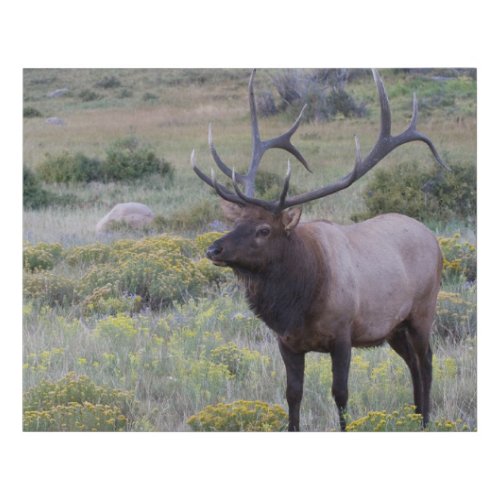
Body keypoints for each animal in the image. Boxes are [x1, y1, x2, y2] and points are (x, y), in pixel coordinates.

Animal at [190, 68, 446, 432]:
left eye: (264, 230)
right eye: (237, 221)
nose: (214, 249)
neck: (299, 302)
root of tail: (434, 240)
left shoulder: (342, 335)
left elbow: (340, 394)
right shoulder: (287, 342)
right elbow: (293, 394)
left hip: (423, 309)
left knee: (426, 361)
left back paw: (425, 419)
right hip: (393, 327)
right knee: (412, 362)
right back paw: (414, 415)